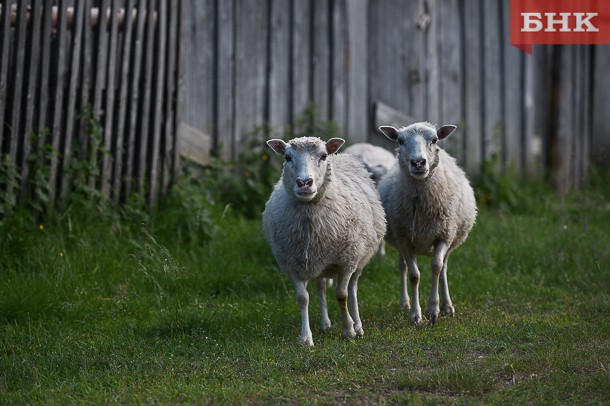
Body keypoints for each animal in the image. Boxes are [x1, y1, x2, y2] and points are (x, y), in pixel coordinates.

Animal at [258, 136, 382, 346]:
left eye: (323, 156)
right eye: (287, 157)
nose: (304, 182)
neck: (309, 218)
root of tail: (343, 155)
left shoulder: (347, 261)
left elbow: (342, 295)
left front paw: (348, 330)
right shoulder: (292, 264)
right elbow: (303, 298)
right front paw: (306, 338)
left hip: (359, 258)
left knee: (353, 288)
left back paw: (358, 325)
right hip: (320, 261)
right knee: (321, 286)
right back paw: (325, 324)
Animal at [376, 122, 476, 326]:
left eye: (435, 139)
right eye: (400, 140)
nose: (418, 163)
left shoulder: (444, 236)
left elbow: (436, 268)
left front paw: (433, 310)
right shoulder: (405, 239)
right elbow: (414, 275)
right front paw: (415, 315)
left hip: (450, 240)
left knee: (444, 269)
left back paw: (447, 307)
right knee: (403, 267)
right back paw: (404, 303)